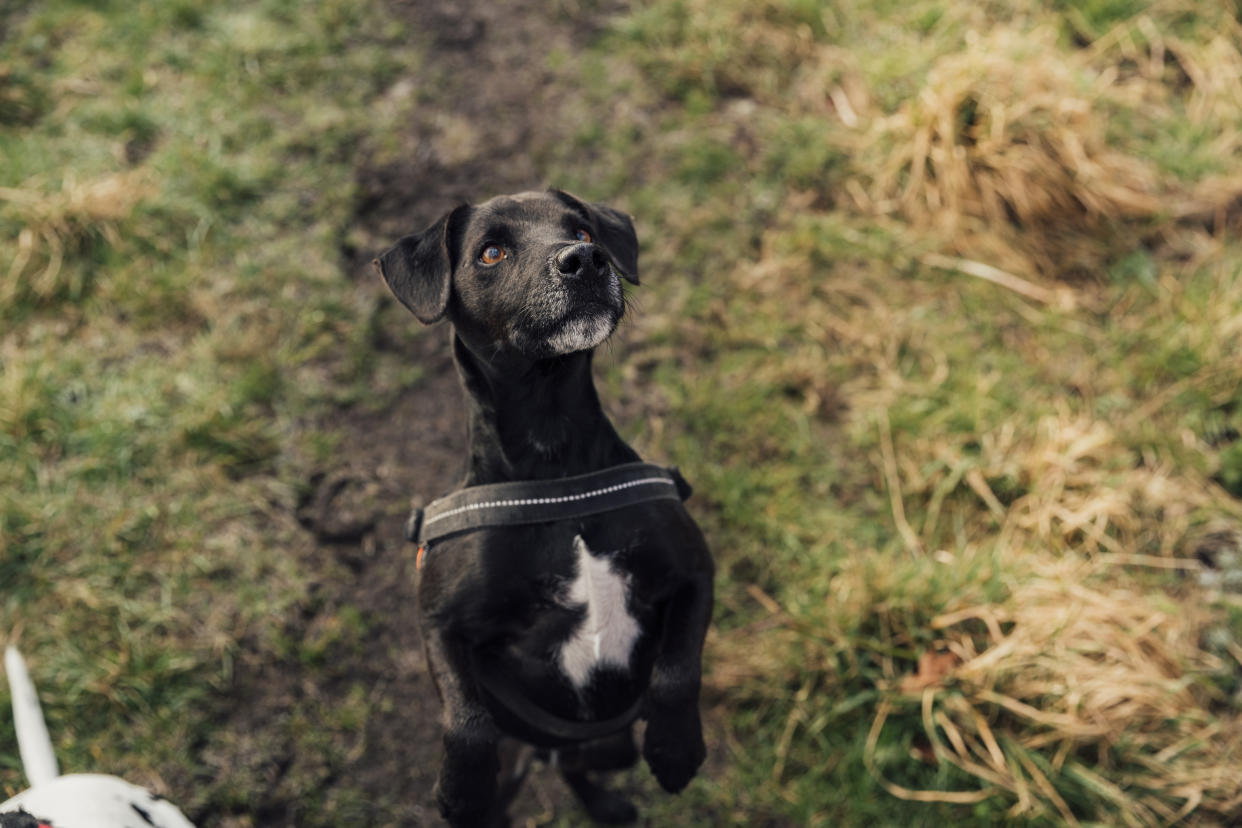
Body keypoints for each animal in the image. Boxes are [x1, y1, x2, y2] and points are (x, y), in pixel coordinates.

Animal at [372, 191, 715, 824]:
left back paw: (607, 804)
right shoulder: (438, 623)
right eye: (491, 252)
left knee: (578, 767)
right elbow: (466, 720)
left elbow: (678, 672)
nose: (584, 260)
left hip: (611, 746)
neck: (556, 465)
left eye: (582, 231)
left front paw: (676, 748)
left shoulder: (695, 573)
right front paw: (461, 790)